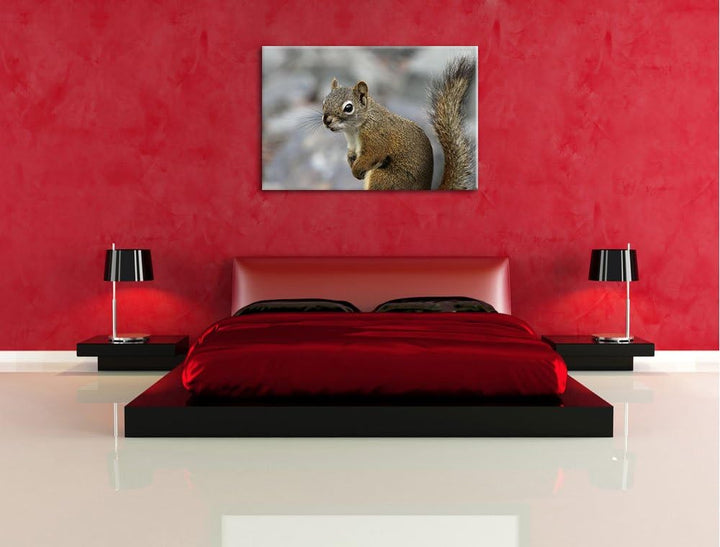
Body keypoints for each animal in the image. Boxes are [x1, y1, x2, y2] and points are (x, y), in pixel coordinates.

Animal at [321, 56, 475, 191]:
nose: (326, 120)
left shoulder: (376, 138)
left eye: (348, 108)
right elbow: (351, 155)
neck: (354, 130)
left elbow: (372, 155)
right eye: (324, 102)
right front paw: (351, 163)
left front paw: (356, 170)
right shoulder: (352, 144)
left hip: (384, 178)